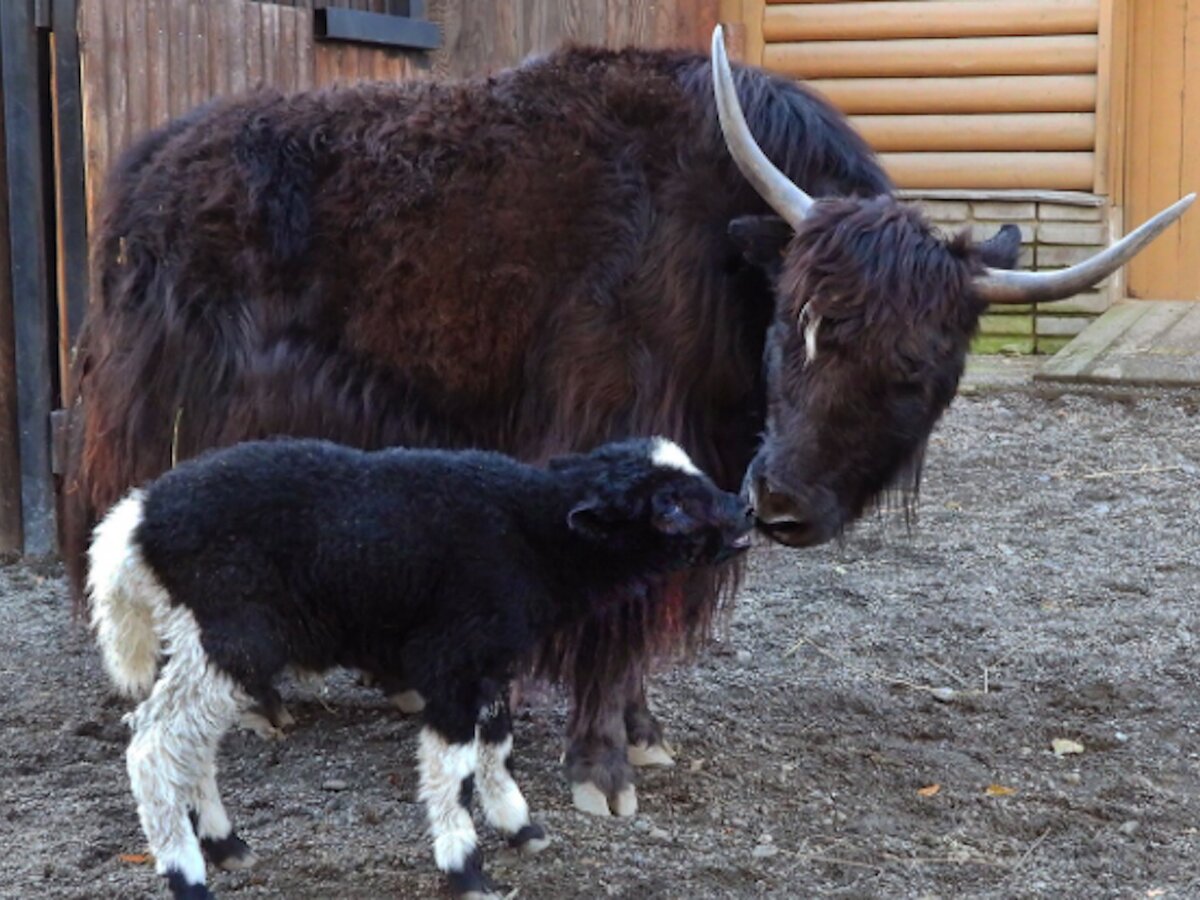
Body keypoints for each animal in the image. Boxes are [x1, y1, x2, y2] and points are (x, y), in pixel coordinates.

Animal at [88, 434, 753, 897]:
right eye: (668, 506)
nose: (744, 512)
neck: (532, 536)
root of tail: (135, 523)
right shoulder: (451, 657)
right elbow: (450, 766)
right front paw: (466, 869)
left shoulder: (489, 661)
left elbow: (496, 745)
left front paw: (519, 827)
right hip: (229, 635)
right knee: (153, 745)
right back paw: (186, 874)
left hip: (209, 640)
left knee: (189, 744)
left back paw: (225, 844)